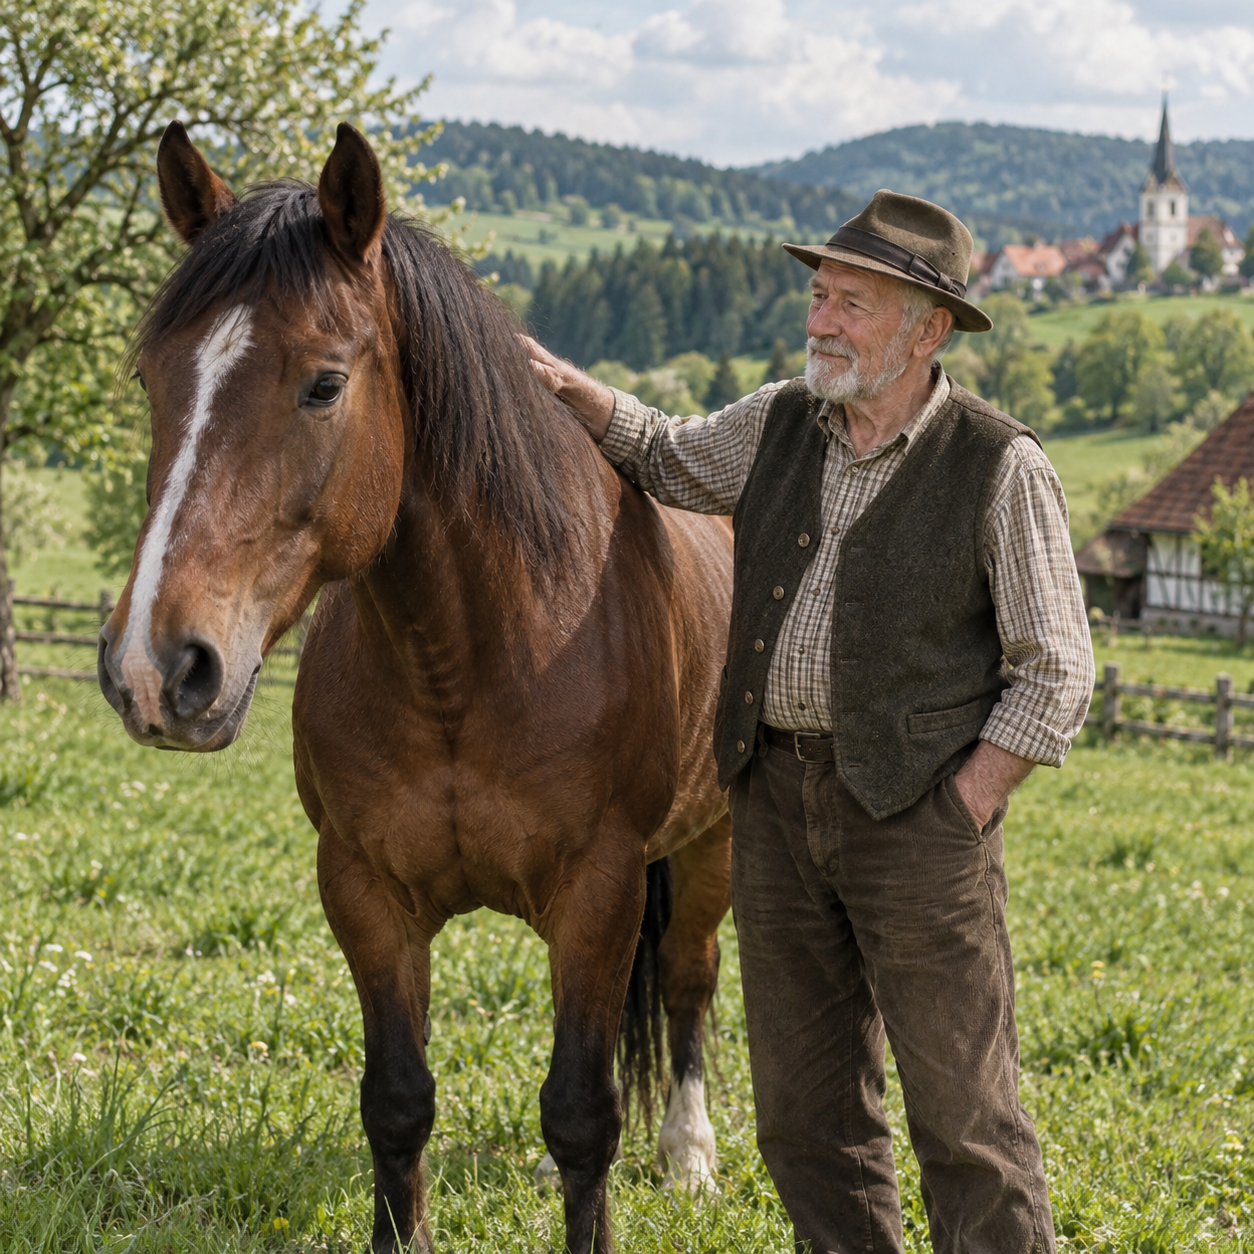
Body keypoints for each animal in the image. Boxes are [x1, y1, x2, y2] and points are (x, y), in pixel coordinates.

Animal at [97, 120, 735, 1254]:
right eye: (150, 381)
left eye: (322, 384)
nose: (154, 667)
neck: (469, 660)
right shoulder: (364, 893)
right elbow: (399, 1105)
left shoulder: (601, 888)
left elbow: (585, 1110)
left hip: (712, 848)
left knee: (689, 979)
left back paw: (690, 1155)